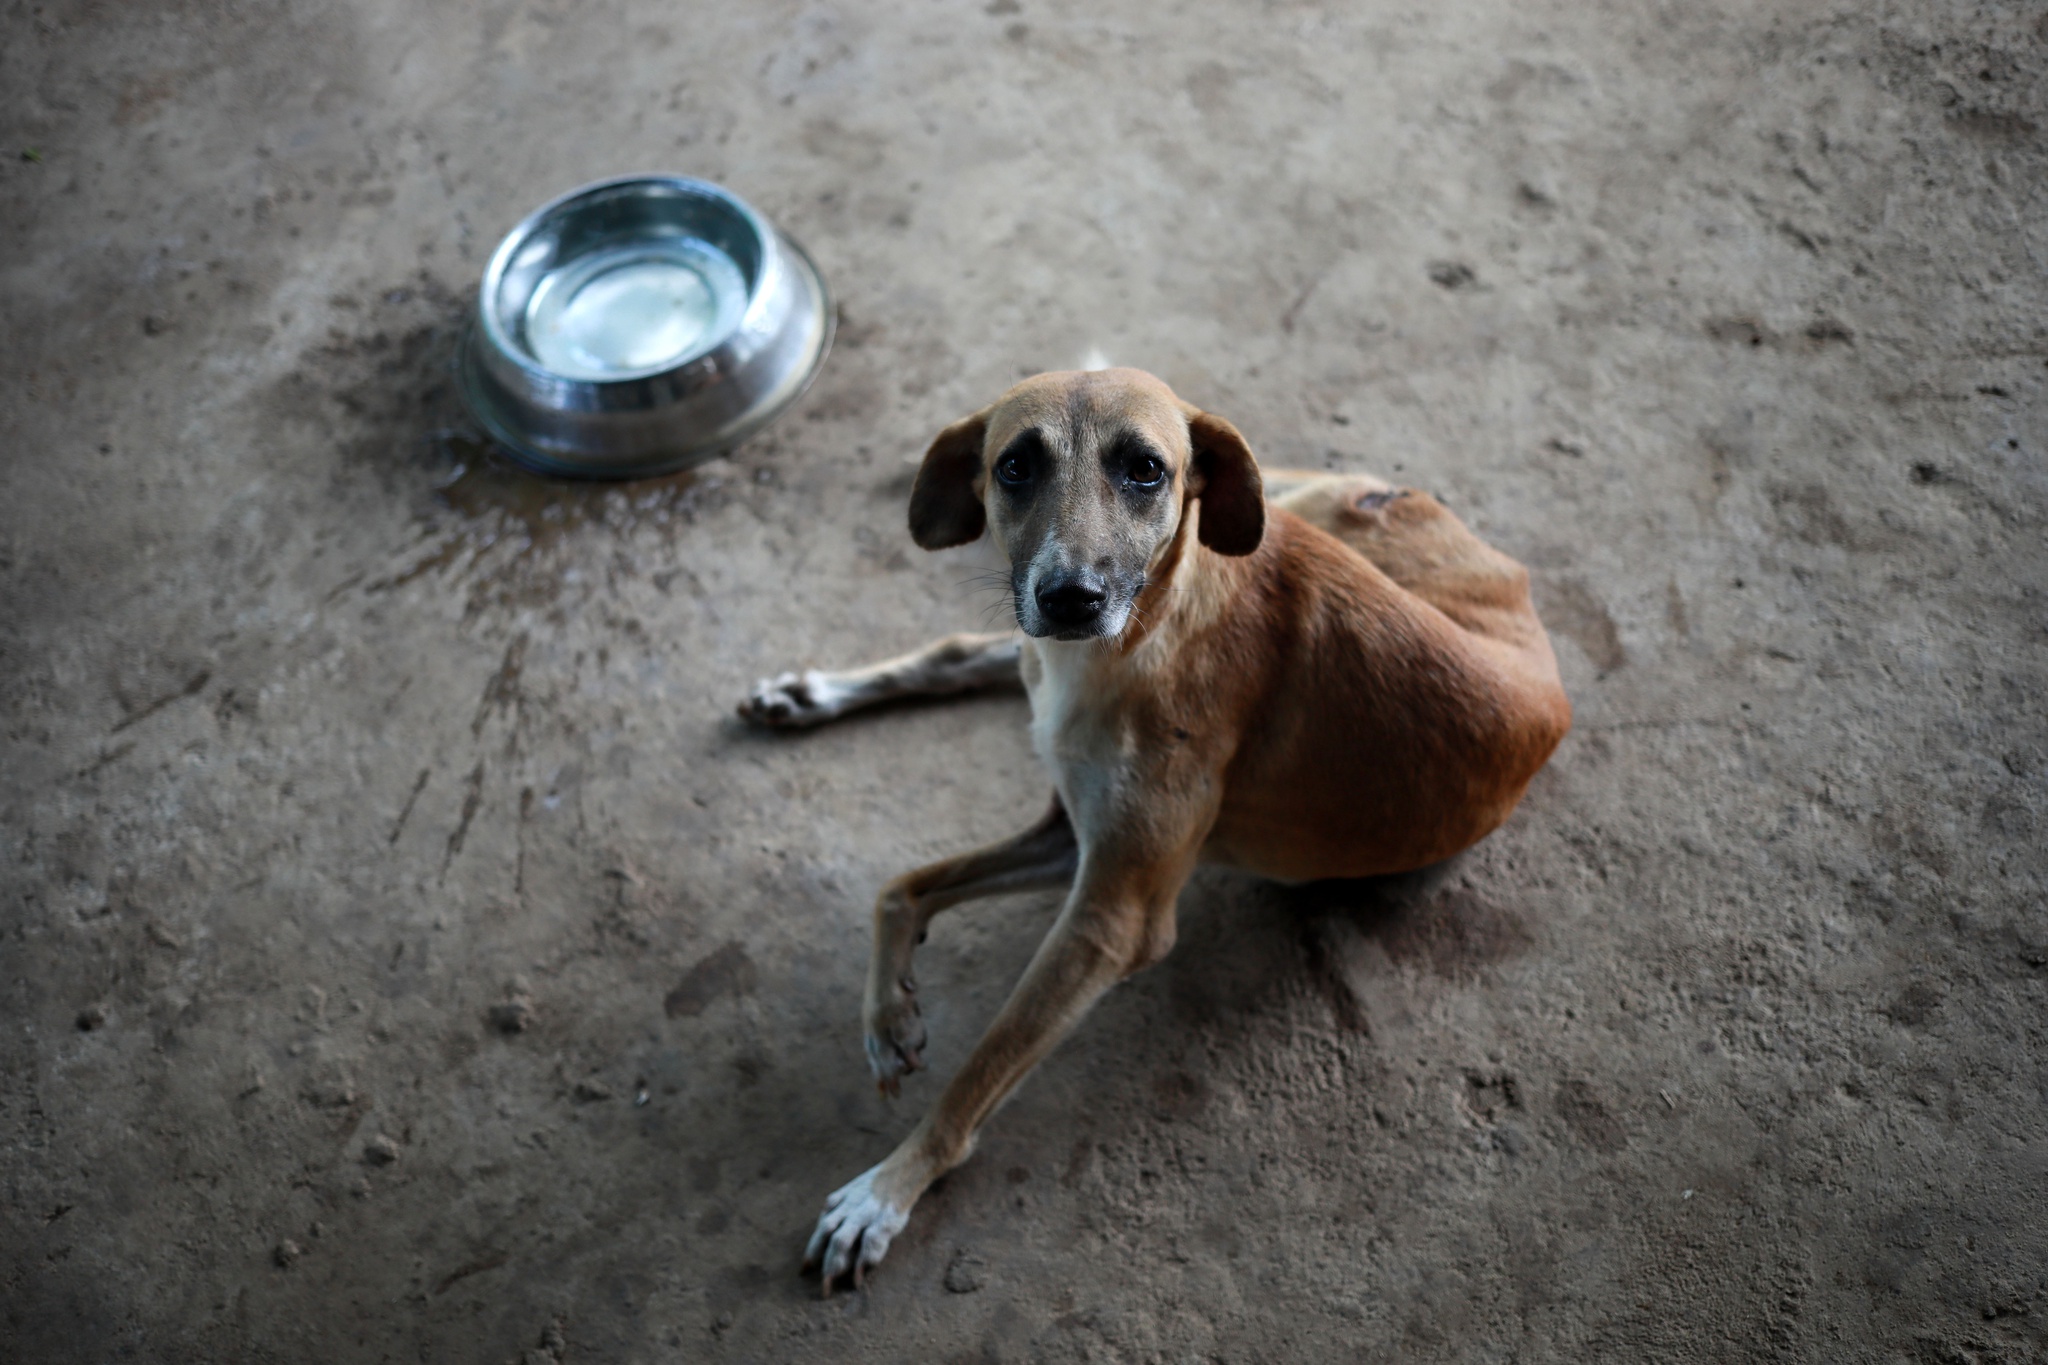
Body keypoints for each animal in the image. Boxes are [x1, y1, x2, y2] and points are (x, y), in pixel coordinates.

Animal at [745, 368, 1572, 1301]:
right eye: (1013, 464)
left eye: (1145, 467)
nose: (1071, 598)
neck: (1144, 634)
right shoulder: (1071, 835)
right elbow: (899, 888)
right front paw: (888, 1022)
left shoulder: (1116, 915)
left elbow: (980, 1065)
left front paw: (887, 1189)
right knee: (973, 647)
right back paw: (815, 692)